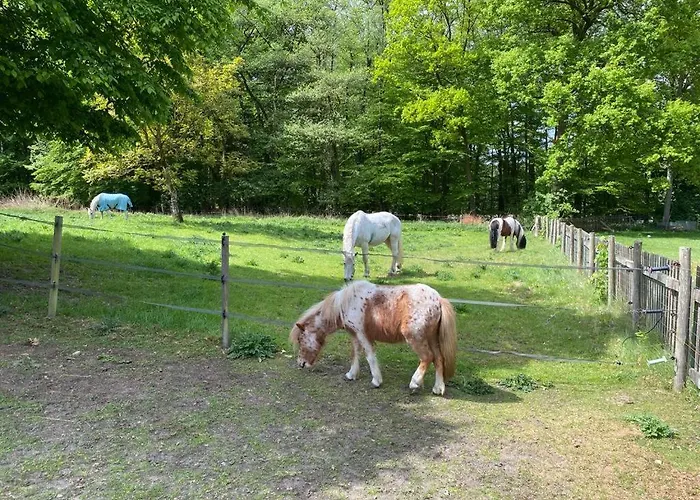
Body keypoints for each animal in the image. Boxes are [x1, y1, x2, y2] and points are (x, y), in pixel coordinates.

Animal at [290, 280, 457, 396]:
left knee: (427, 357)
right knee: (438, 359)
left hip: (415, 337)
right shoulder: (355, 335)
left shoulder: (362, 334)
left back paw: (415, 383)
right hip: (432, 338)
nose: (301, 364)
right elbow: (355, 354)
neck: (346, 304)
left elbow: (370, 356)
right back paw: (438, 388)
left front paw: (376, 381)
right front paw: (351, 375)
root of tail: (439, 300)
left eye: (300, 339)